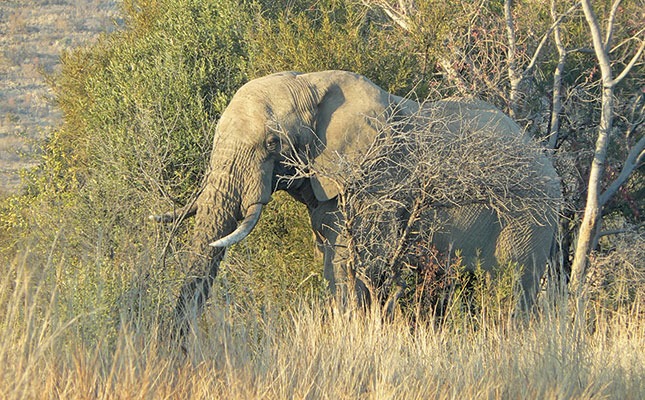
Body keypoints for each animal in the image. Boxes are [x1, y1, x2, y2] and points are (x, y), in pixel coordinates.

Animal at [151, 70, 562, 338]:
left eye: (272, 143)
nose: (174, 346)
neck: (312, 83)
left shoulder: (378, 179)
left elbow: (354, 260)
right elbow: (332, 257)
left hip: (528, 217)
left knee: (512, 284)